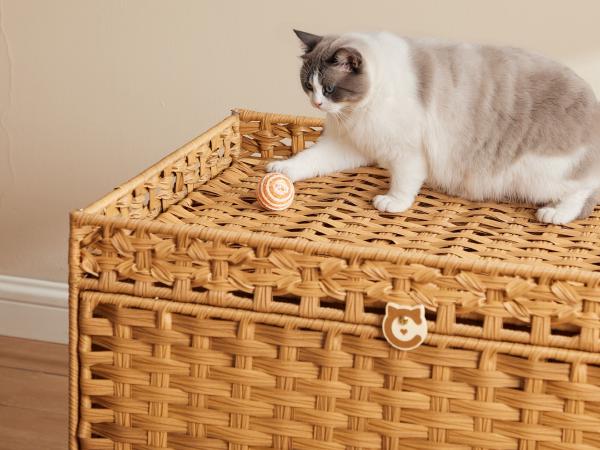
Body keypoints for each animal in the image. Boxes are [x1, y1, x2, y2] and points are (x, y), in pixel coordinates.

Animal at [266, 30, 600, 224]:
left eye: (330, 89)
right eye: (308, 86)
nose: (317, 104)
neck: (356, 111)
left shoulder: (407, 153)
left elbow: (404, 183)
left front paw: (393, 203)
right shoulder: (347, 144)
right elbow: (307, 160)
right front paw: (282, 170)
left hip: (535, 176)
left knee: (584, 191)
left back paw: (554, 214)